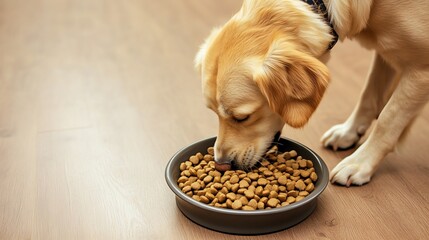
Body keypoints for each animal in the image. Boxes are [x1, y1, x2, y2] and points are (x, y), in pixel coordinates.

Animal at [194, 0, 428, 187]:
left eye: (242, 117)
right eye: (214, 113)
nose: (221, 165)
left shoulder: (420, 70)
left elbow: (388, 119)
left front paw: (359, 163)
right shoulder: (385, 53)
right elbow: (368, 97)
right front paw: (348, 132)